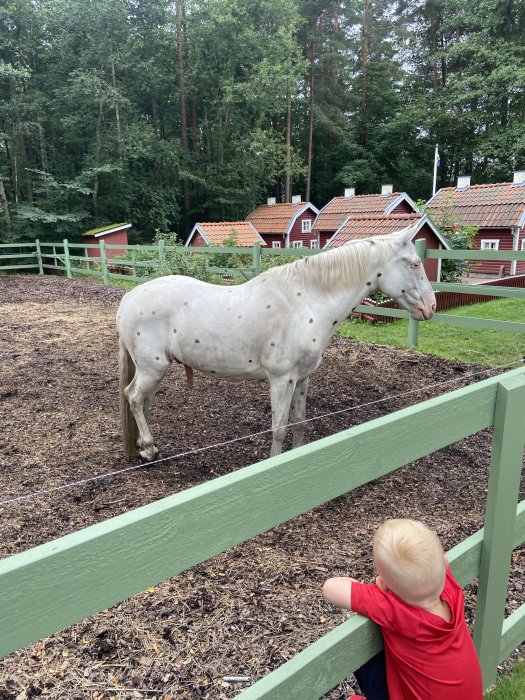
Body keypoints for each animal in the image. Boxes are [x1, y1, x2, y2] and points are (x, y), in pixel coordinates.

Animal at [117, 224, 434, 462]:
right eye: (415, 264)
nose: (430, 307)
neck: (306, 302)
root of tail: (128, 299)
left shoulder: (302, 378)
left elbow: (299, 422)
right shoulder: (282, 379)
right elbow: (279, 428)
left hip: (153, 370)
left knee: (143, 400)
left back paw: (146, 448)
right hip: (153, 368)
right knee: (134, 397)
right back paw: (149, 448)